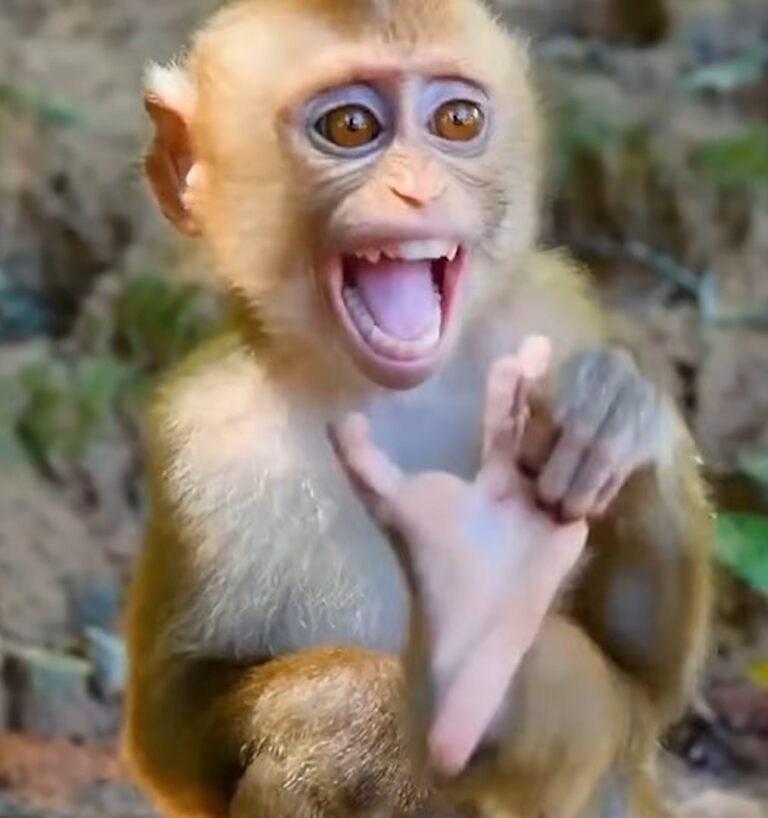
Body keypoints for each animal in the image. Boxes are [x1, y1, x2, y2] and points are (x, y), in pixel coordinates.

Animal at [122, 1, 714, 817]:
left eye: (457, 121)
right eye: (349, 127)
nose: (417, 190)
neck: (387, 397)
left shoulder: (553, 316)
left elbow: (644, 683)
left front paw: (614, 410)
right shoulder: (198, 441)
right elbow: (172, 727)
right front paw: (363, 712)